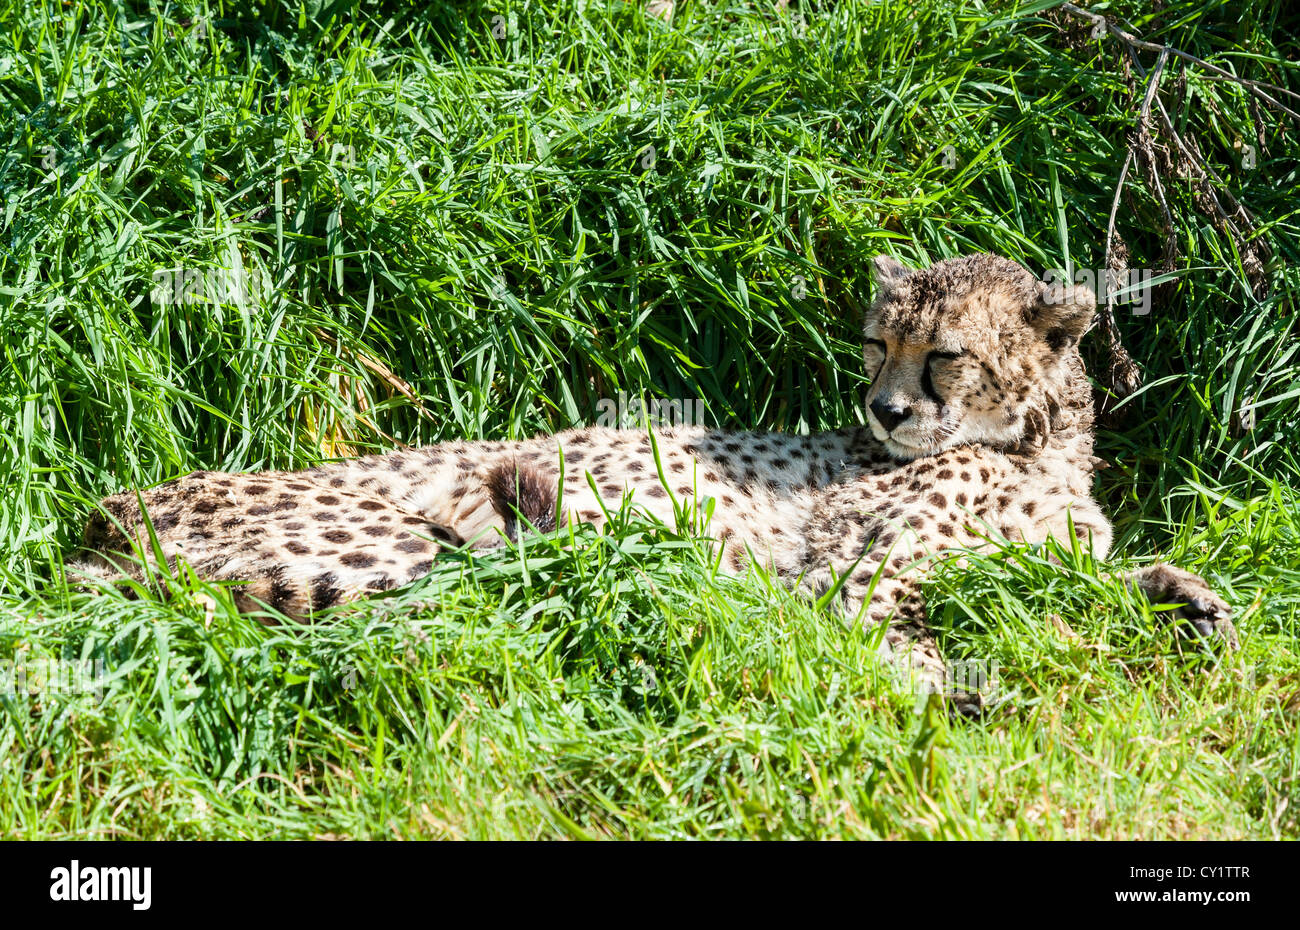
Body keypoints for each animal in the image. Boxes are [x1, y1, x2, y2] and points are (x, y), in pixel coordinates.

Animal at [71, 252, 1237, 713]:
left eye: (944, 354)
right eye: (877, 344)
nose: (885, 411)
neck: (1035, 443)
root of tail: (104, 513)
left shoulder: (1035, 551)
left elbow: (1100, 573)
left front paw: (1192, 599)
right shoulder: (855, 573)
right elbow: (890, 631)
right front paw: (956, 690)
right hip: (414, 544)